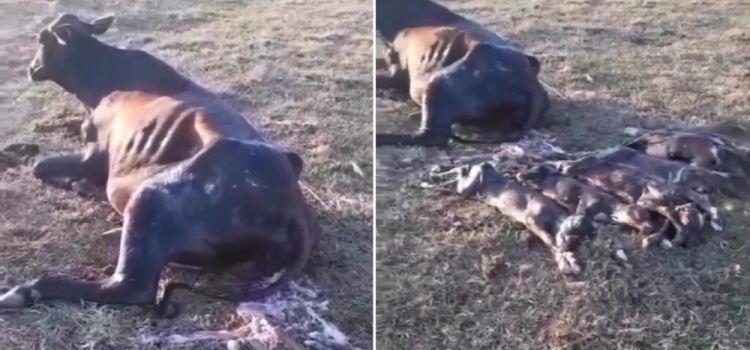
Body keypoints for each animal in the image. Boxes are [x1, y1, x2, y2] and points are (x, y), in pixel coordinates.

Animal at [0, 14, 320, 312]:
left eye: (43, 39)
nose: (31, 69)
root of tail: (292, 205)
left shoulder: (95, 153)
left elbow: (40, 166)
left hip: (150, 196)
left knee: (132, 287)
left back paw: (26, 290)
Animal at [458, 163, 592, 274]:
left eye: (584, 238)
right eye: (576, 224)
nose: (572, 244)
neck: (554, 216)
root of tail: (484, 165)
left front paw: (573, 263)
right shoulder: (532, 219)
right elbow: (550, 241)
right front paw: (565, 265)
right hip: (470, 183)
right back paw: (461, 168)